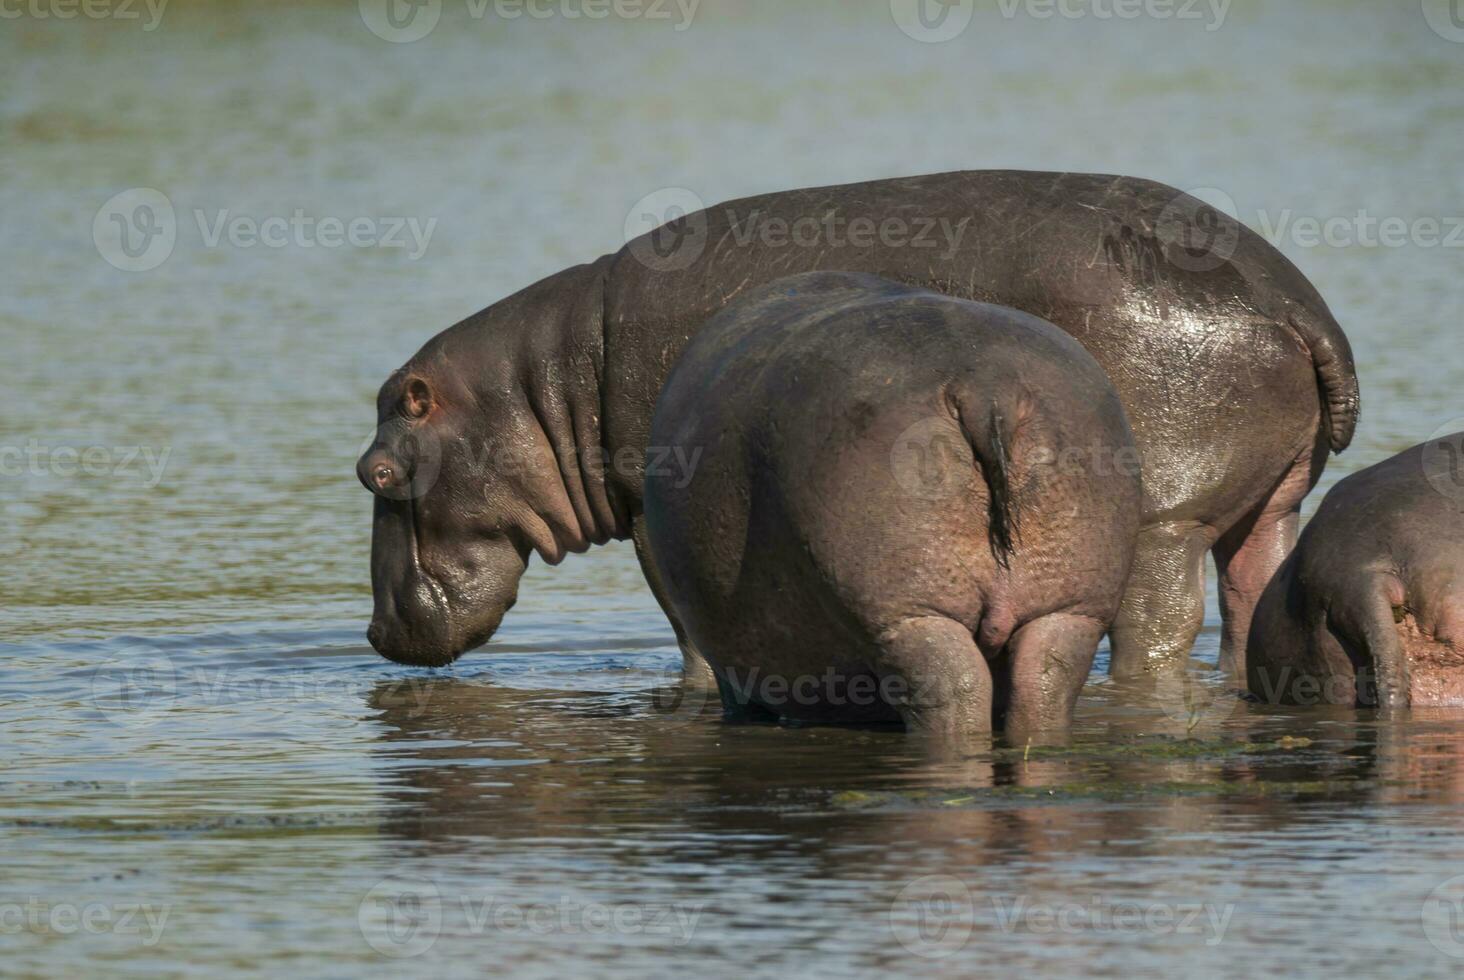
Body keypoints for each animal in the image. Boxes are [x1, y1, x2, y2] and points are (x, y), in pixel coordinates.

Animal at [357, 169, 1358, 673]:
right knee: (1251, 592)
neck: (546, 383)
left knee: (1157, 625)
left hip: (1165, 514)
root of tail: (1299, 305)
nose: (372, 634)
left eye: (375, 472)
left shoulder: (650, 506)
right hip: (1271, 498)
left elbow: (683, 617)